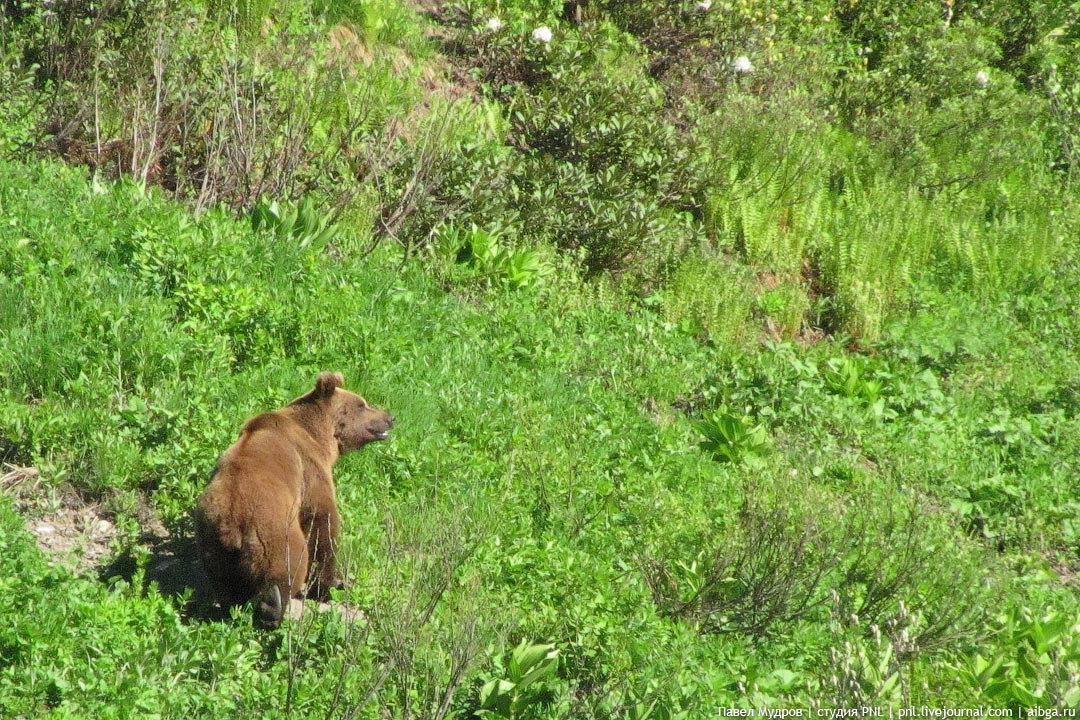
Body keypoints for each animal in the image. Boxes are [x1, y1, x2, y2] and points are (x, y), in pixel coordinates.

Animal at [194, 371, 393, 629]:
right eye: (362, 404)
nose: (390, 418)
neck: (319, 436)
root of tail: (231, 521)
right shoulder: (309, 470)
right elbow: (322, 523)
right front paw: (332, 585)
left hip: (212, 544)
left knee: (226, 585)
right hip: (273, 533)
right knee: (287, 565)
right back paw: (273, 608)